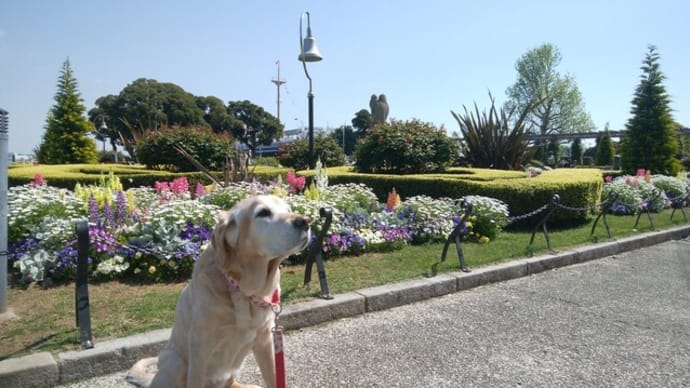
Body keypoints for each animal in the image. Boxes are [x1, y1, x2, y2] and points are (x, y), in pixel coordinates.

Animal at [127, 196, 312, 388]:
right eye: (263, 212)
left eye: (288, 209)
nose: (306, 221)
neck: (245, 290)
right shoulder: (200, 347)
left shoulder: (266, 340)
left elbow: (274, 377)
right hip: (174, 362)